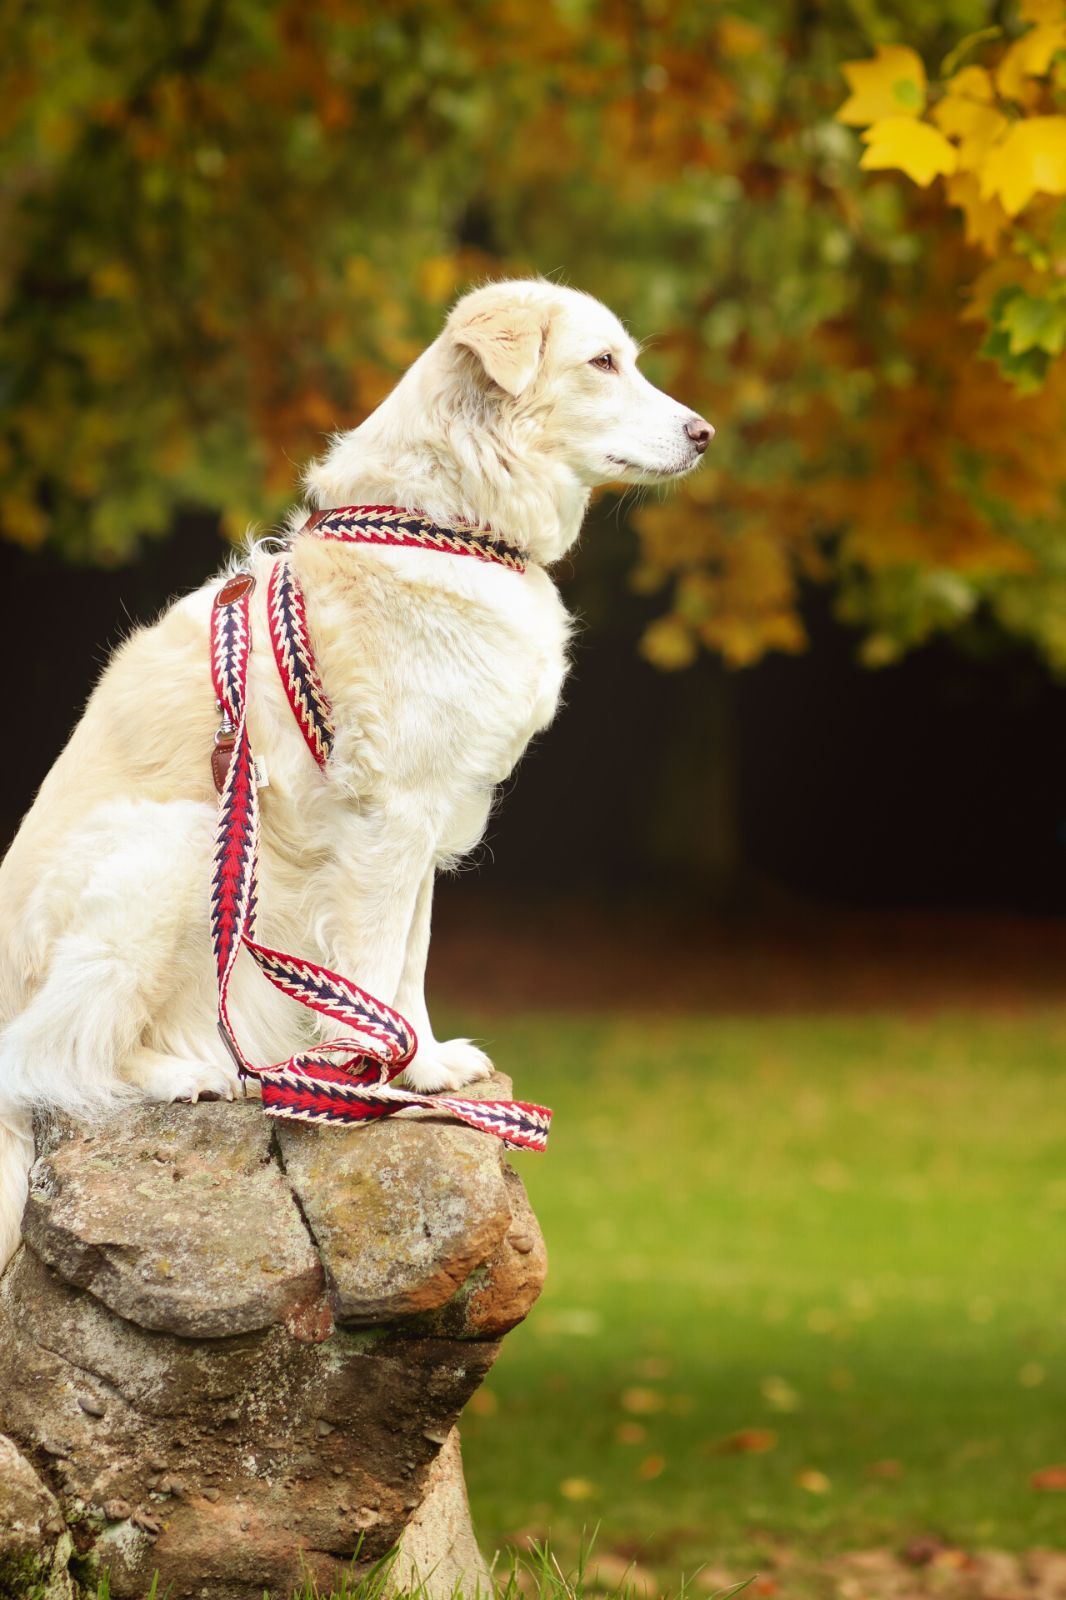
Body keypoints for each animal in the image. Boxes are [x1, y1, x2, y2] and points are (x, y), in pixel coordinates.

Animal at [2, 281, 713, 1267]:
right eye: (602, 363)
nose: (705, 434)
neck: (450, 526)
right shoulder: (390, 819)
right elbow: (375, 967)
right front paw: (381, 1087)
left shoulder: (428, 823)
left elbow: (408, 962)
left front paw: (424, 1067)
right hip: (184, 843)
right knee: (52, 1051)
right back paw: (188, 1074)